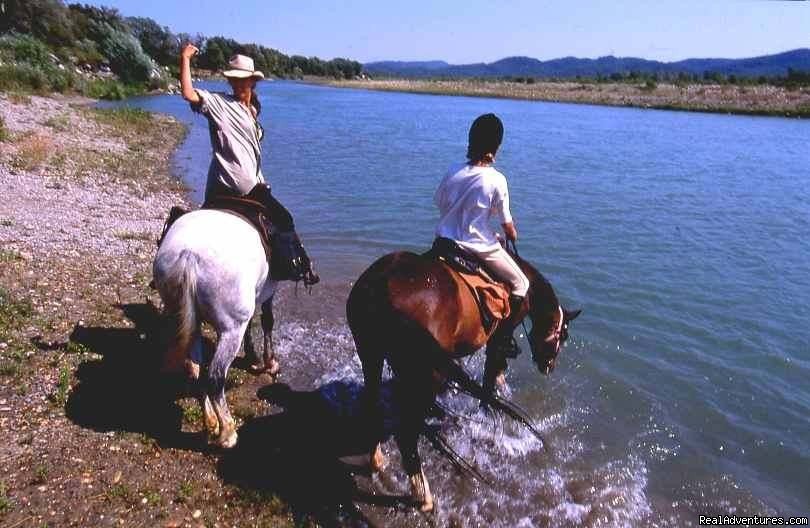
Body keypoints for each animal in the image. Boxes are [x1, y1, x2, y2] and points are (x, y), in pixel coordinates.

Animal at [152, 208, 278, 448]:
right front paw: (269, 363)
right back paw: (227, 433)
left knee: (197, 372)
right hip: (231, 330)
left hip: (190, 323)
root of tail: (189, 256)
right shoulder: (267, 294)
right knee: (215, 377)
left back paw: (210, 422)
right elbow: (268, 320)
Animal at [344, 246, 576, 512]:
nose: (549, 366)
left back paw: (376, 459)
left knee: (373, 404)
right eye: (563, 335)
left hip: (370, 353)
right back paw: (422, 495)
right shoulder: (499, 335)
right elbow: (490, 375)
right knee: (407, 433)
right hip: (423, 371)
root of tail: (379, 288)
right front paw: (486, 410)